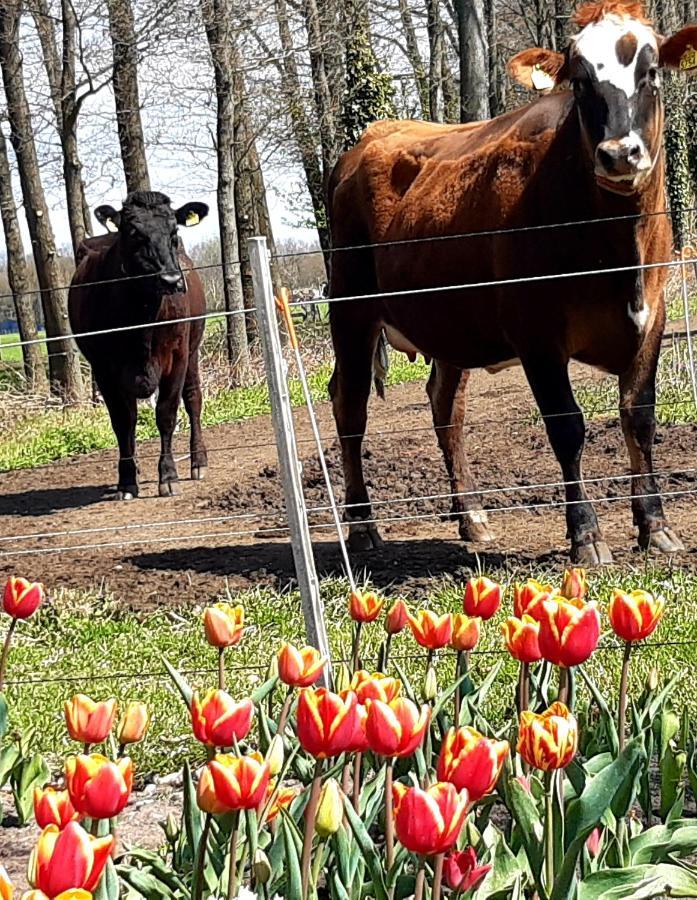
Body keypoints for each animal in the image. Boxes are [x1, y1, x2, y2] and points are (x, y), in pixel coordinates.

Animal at [68, 192, 209, 500]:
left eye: (174, 232)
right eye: (134, 233)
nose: (171, 280)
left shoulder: (177, 357)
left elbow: (166, 414)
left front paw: (168, 476)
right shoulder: (104, 368)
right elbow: (123, 421)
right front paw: (127, 480)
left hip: (193, 351)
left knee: (193, 399)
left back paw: (198, 461)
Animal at [328, 0, 696, 564]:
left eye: (652, 71)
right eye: (580, 81)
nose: (619, 153)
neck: (616, 253)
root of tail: (361, 144)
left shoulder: (652, 321)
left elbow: (638, 418)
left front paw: (655, 527)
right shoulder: (537, 336)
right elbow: (567, 426)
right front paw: (586, 536)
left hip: (450, 325)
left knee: (445, 407)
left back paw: (472, 517)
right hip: (351, 309)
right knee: (350, 408)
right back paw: (363, 526)